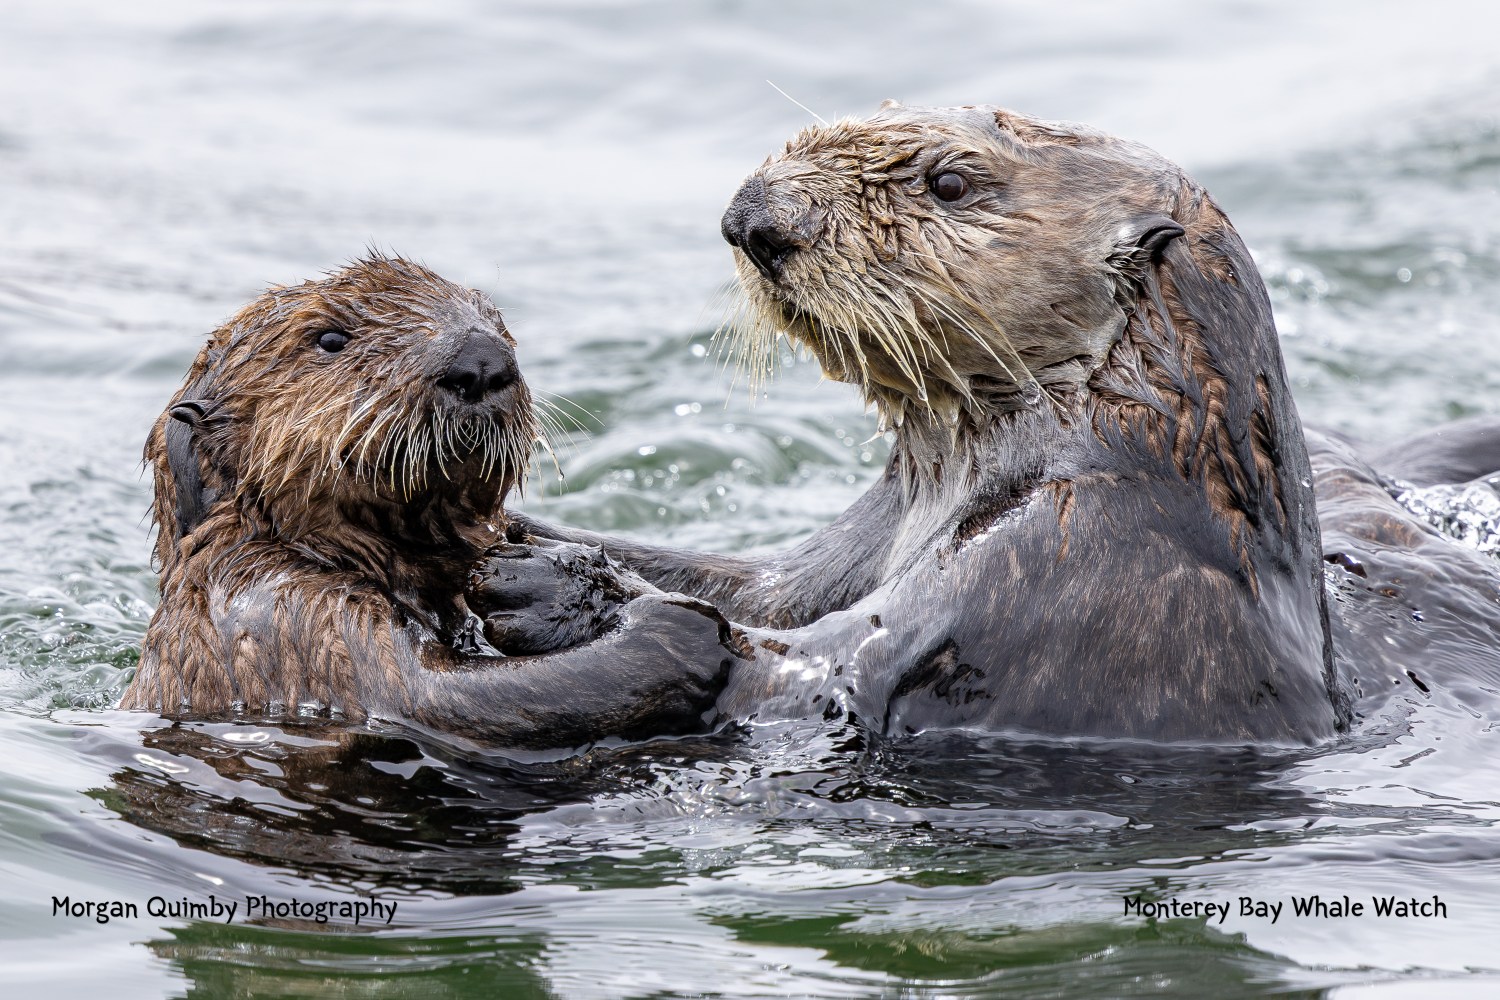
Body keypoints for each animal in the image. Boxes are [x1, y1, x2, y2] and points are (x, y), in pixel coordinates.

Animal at [119, 255, 735, 748]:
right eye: (329, 339)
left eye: (496, 320)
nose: (482, 360)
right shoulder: (282, 612)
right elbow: (438, 695)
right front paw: (675, 625)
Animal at [508, 103, 1500, 744]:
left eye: (949, 182)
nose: (753, 219)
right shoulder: (858, 546)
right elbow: (757, 587)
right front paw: (534, 534)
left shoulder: (1070, 566)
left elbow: (802, 671)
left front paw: (567, 586)